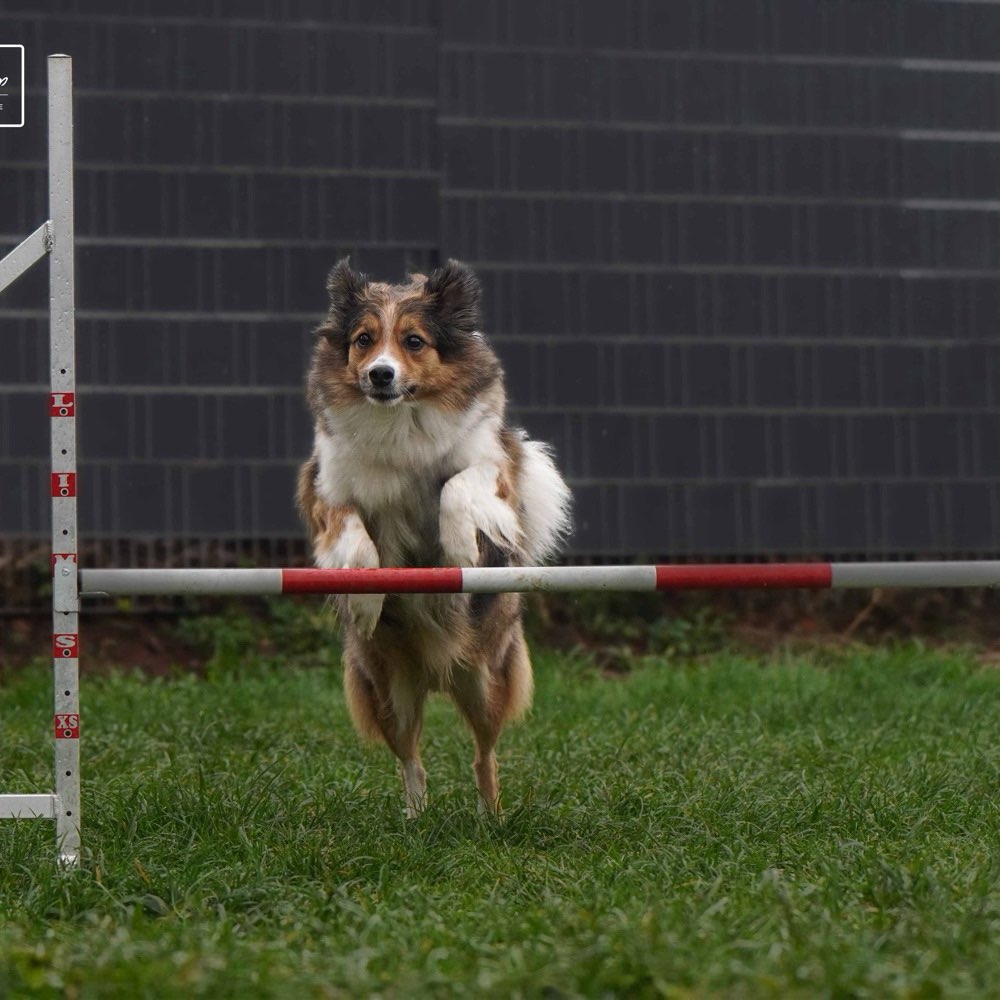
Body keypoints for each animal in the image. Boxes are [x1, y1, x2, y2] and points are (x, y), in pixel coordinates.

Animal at [296, 256, 572, 812]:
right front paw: (365, 599)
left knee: (484, 756)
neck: (400, 417)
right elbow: (352, 532)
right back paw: (415, 817)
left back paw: (492, 817)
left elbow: (457, 488)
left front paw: (462, 548)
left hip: (486, 681)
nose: (380, 375)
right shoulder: (324, 486)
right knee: (411, 760)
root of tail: (437, 671)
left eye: (414, 341)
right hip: (388, 692)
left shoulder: (497, 464)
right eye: (363, 339)